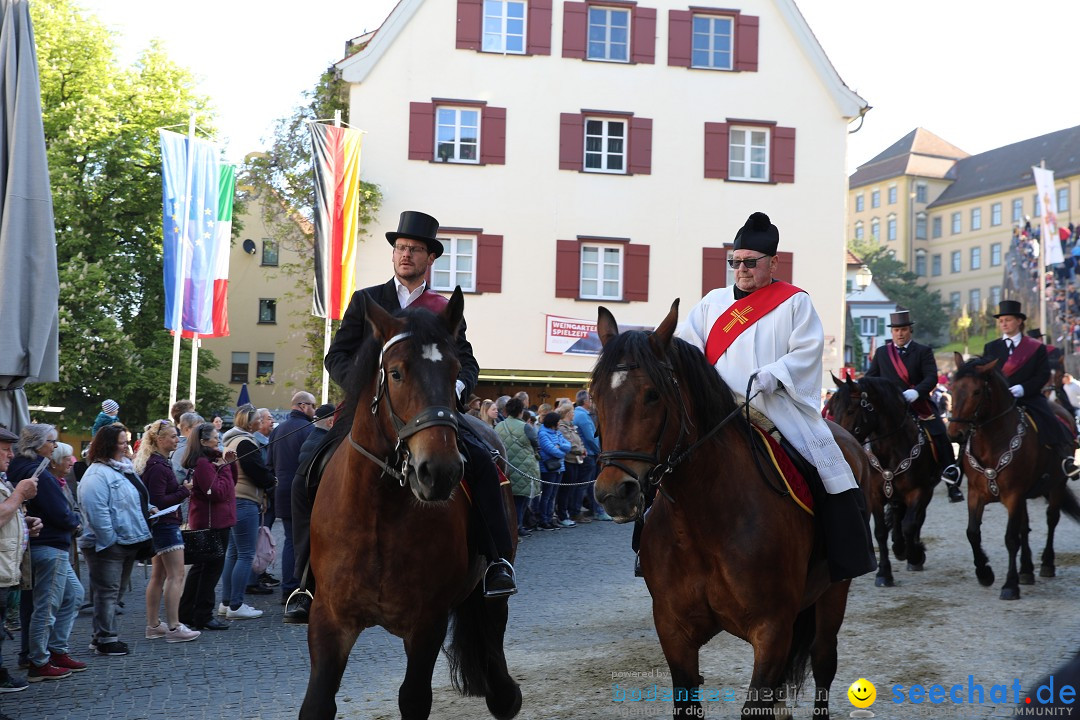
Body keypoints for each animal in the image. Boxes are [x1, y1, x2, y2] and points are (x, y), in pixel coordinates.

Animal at [300, 289, 518, 720]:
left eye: (454, 372)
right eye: (397, 373)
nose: (439, 471)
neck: (377, 511)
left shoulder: (427, 622)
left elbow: (414, 697)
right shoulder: (329, 619)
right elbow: (317, 703)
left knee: (495, 648)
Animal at [591, 302, 868, 716]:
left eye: (652, 395)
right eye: (594, 395)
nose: (614, 492)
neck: (703, 524)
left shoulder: (772, 631)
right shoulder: (674, 633)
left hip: (834, 591)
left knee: (823, 661)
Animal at [829, 375, 941, 587]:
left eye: (850, 410)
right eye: (832, 410)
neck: (891, 449)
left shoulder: (918, 491)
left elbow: (910, 525)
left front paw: (913, 555)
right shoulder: (875, 496)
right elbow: (881, 532)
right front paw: (884, 573)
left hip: (927, 492)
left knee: (915, 519)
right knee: (897, 516)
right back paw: (898, 545)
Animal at [946, 351, 1080, 600]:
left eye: (976, 392)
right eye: (951, 389)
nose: (955, 434)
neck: (991, 442)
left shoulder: (1014, 495)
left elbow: (1010, 538)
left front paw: (1010, 585)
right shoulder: (976, 493)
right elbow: (972, 532)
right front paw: (984, 573)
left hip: (1056, 485)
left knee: (1051, 519)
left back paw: (1046, 564)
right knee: (1024, 528)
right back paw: (1026, 570)